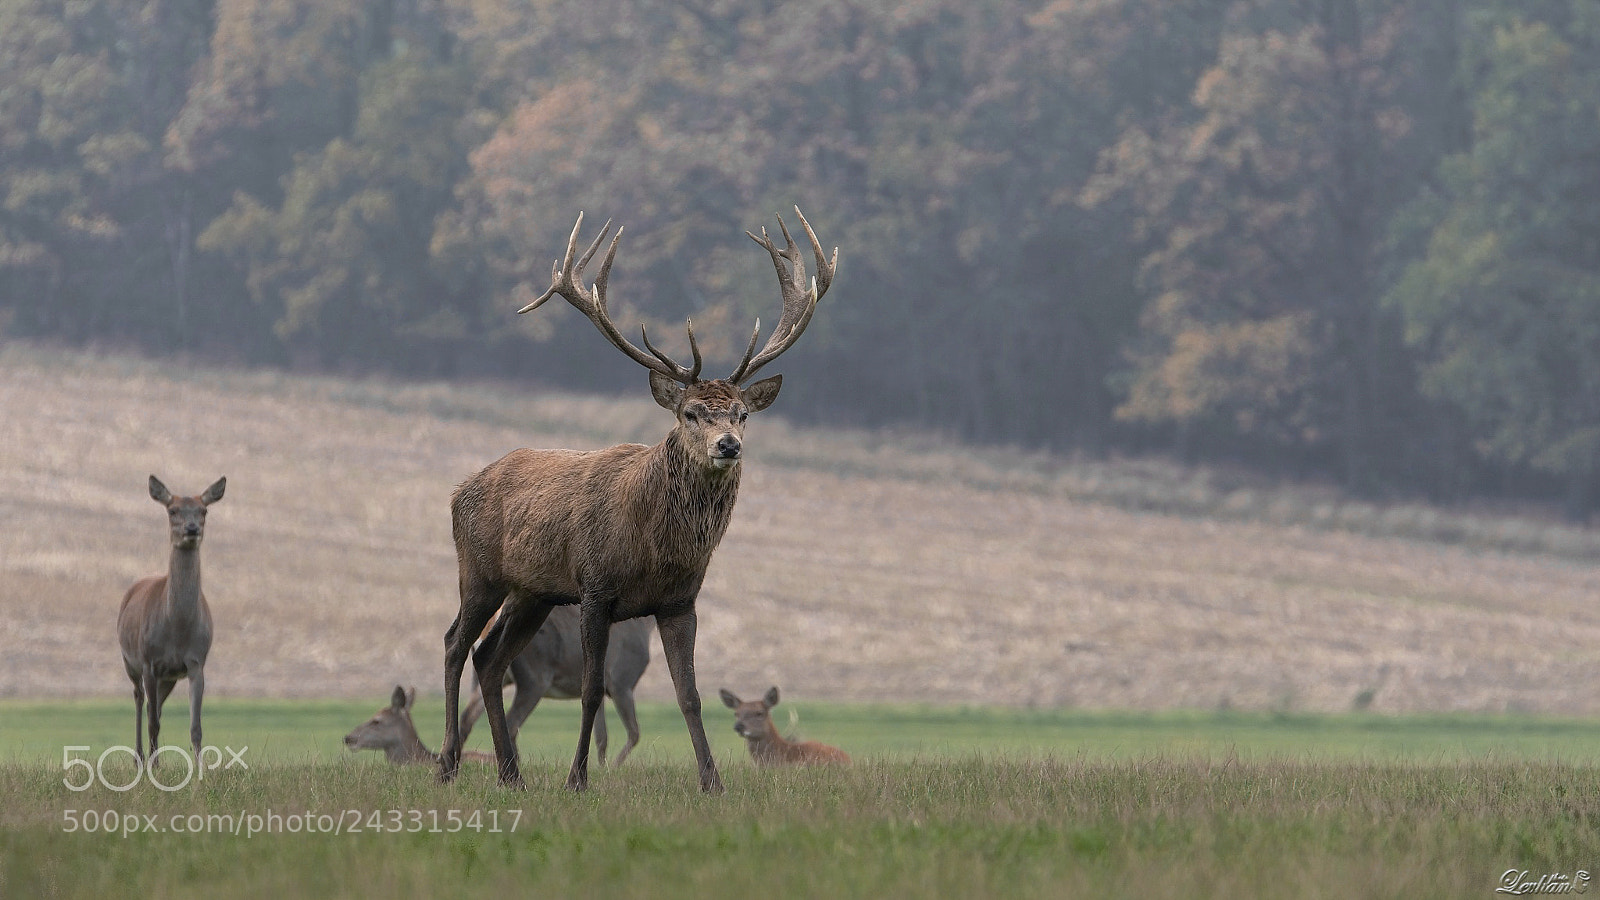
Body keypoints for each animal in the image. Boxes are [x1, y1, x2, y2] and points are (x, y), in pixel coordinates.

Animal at [117, 475, 225, 765]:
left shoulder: (196, 662)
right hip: (130, 661)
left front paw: (199, 768)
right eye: (172, 510)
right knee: (139, 700)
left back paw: (154, 759)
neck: (177, 630)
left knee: (155, 709)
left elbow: (195, 726)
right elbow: (153, 722)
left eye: (204, 511)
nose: (191, 529)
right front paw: (151, 766)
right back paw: (139, 758)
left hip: (170, 678)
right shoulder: (149, 661)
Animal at [457, 607, 652, 767]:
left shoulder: (602, 688)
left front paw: (601, 768)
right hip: (535, 678)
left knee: (468, 717)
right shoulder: (622, 681)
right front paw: (613, 766)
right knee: (511, 723)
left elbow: (601, 736)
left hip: (497, 677)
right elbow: (634, 733)